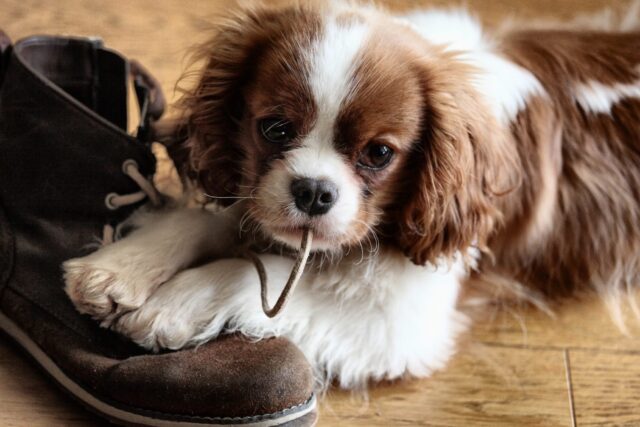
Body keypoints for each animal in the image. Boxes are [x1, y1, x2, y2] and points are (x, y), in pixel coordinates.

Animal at [63, 2, 640, 392]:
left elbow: (253, 270)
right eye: (274, 129)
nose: (315, 192)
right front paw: (122, 266)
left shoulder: (399, 324)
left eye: (380, 154)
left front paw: (174, 303)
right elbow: (218, 218)